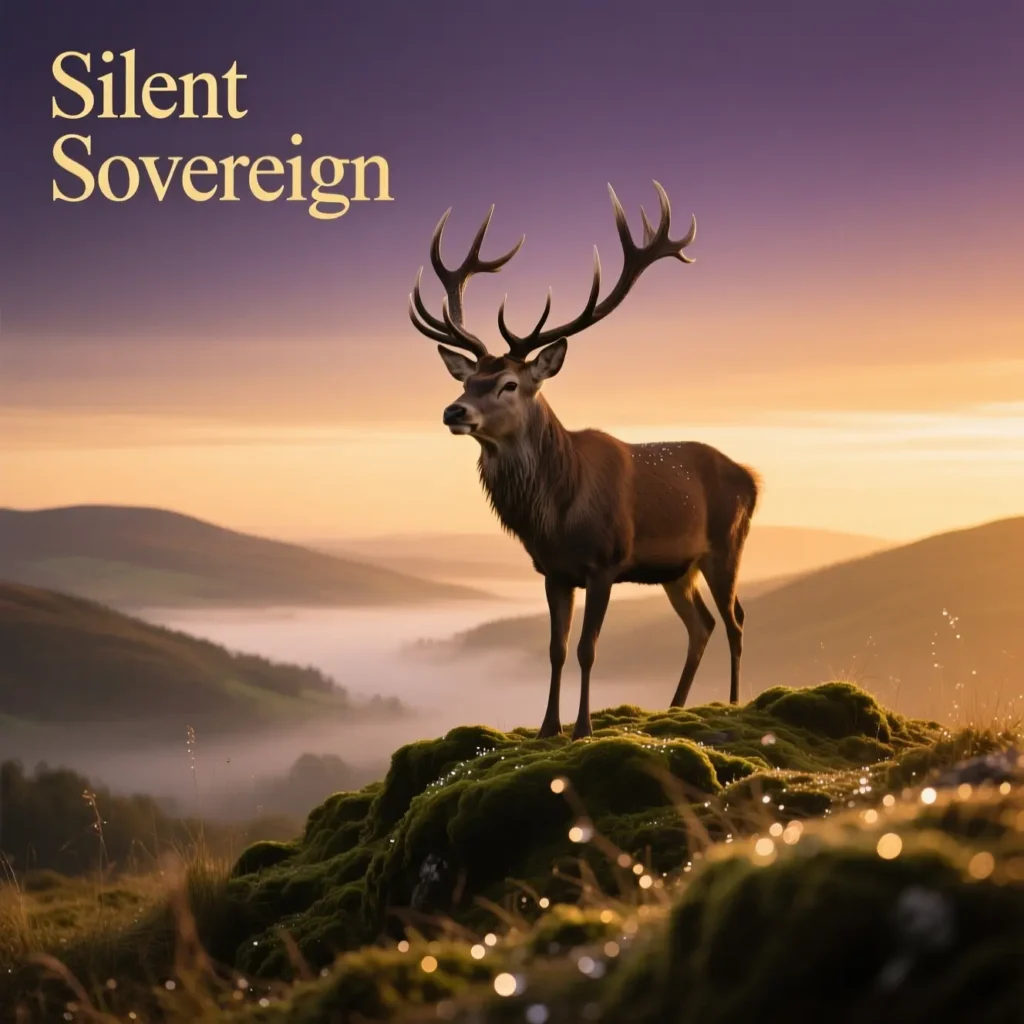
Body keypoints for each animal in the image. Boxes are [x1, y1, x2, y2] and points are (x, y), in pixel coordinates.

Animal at [409, 182, 759, 740]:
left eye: (509, 384)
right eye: (468, 380)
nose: (453, 411)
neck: (555, 513)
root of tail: (751, 478)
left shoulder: (605, 562)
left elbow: (587, 649)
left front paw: (583, 728)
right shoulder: (553, 571)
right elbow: (554, 649)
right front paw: (548, 727)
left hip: (727, 546)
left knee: (736, 620)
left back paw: (729, 703)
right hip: (676, 569)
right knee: (701, 625)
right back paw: (675, 708)